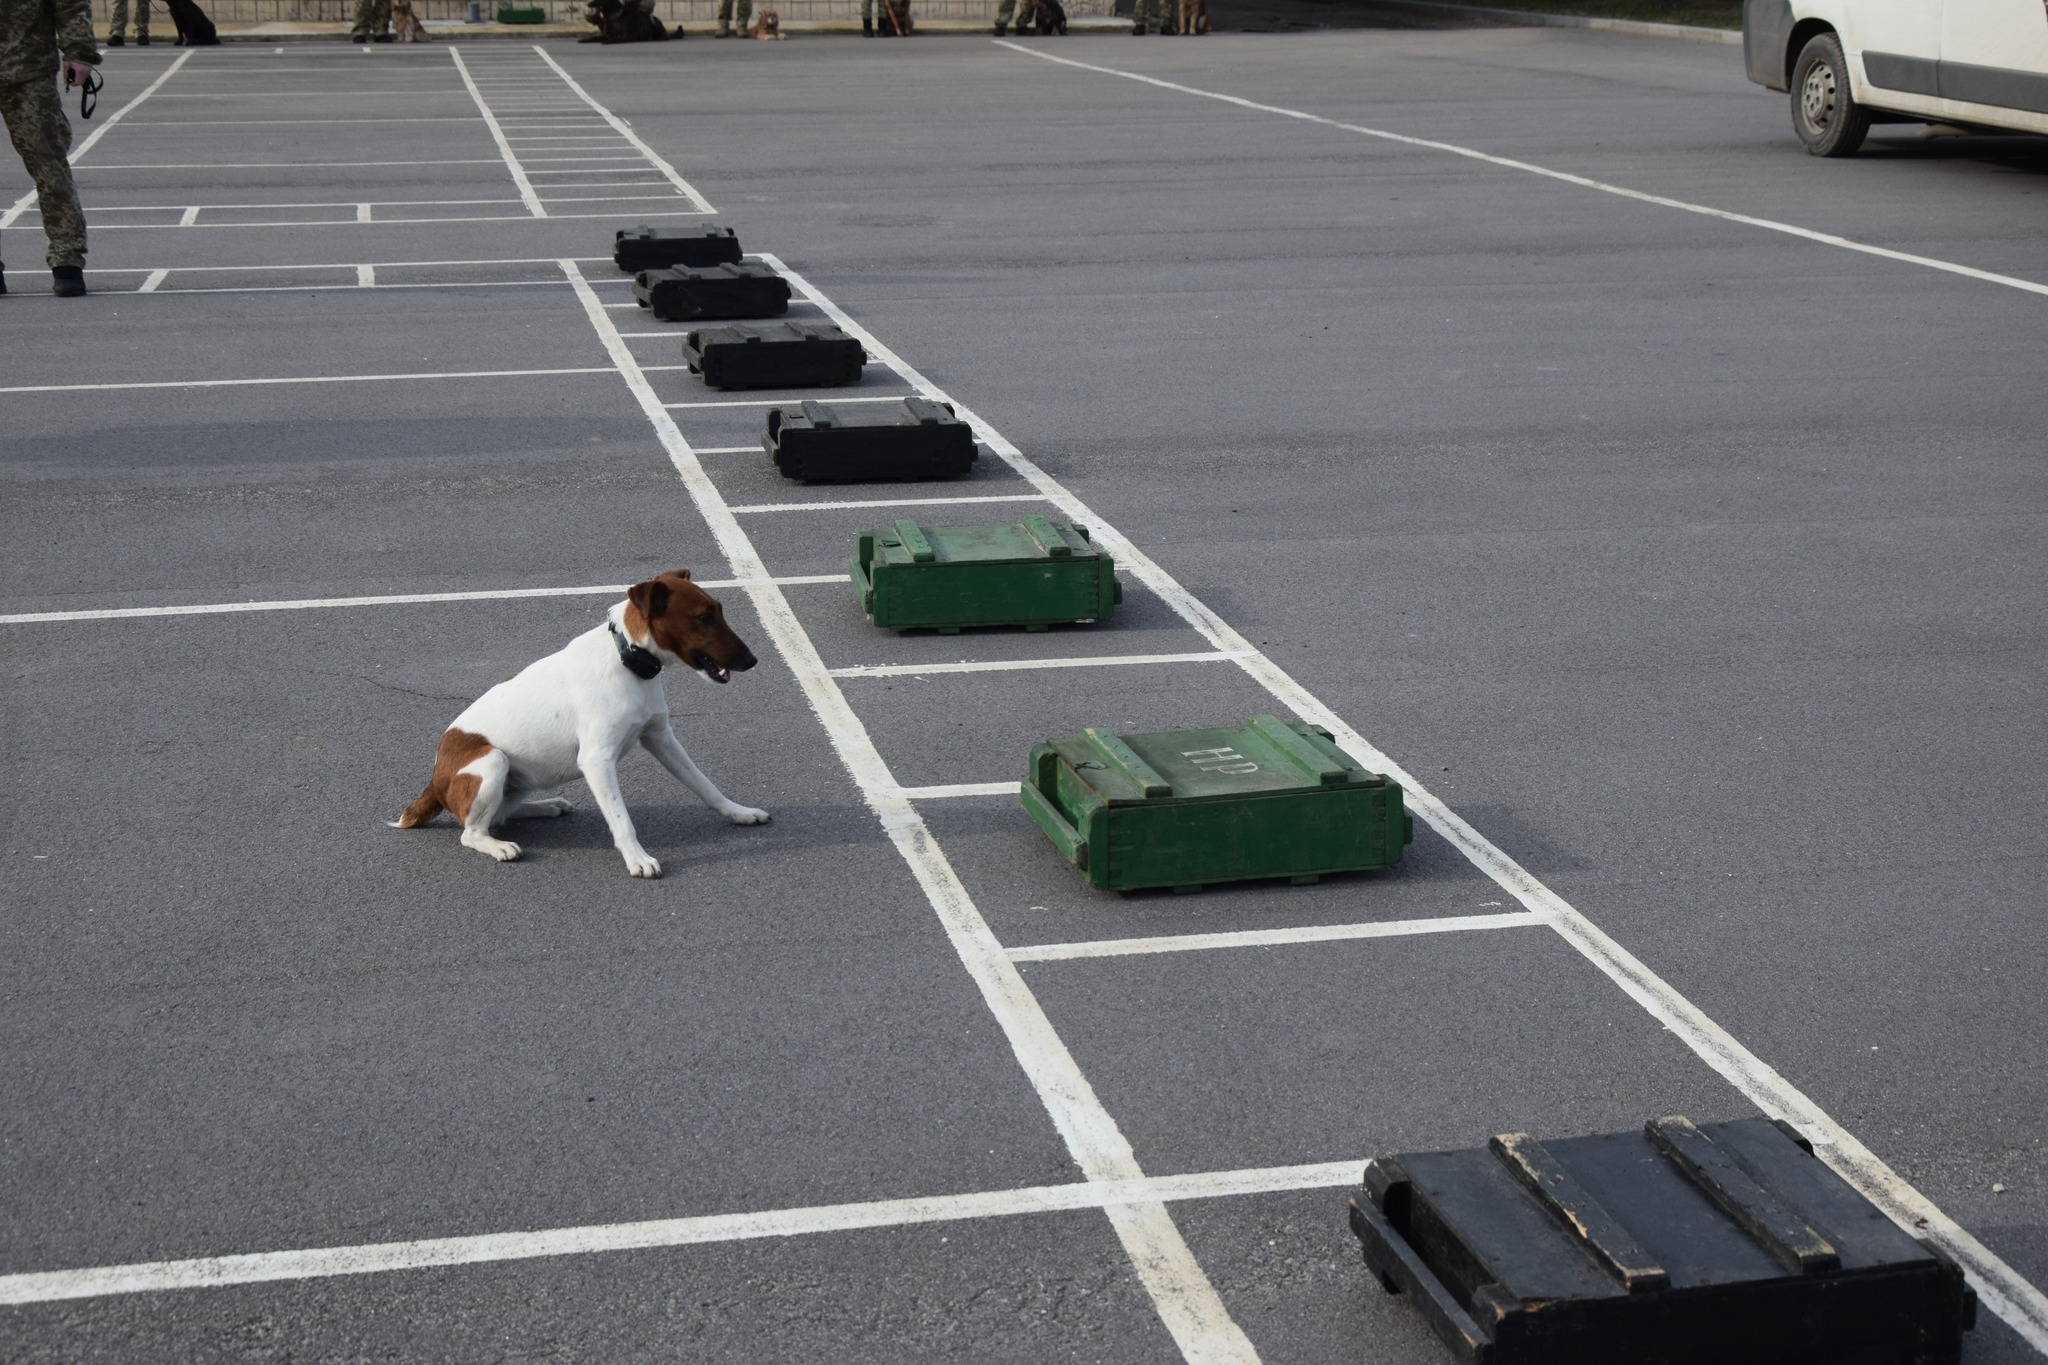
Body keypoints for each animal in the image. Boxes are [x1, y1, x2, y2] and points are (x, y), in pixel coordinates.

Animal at [391, 573, 770, 875]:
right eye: (704, 617)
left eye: (719, 610)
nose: (752, 660)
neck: (628, 660)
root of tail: (434, 780)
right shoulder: (597, 760)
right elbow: (621, 819)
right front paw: (638, 859)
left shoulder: (661, 738)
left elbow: (705, 785)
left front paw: (738, 812)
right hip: (493, 760)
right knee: (471, 832)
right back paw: (500, 846)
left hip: (518, 777)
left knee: (500, 815)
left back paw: (546, 806)